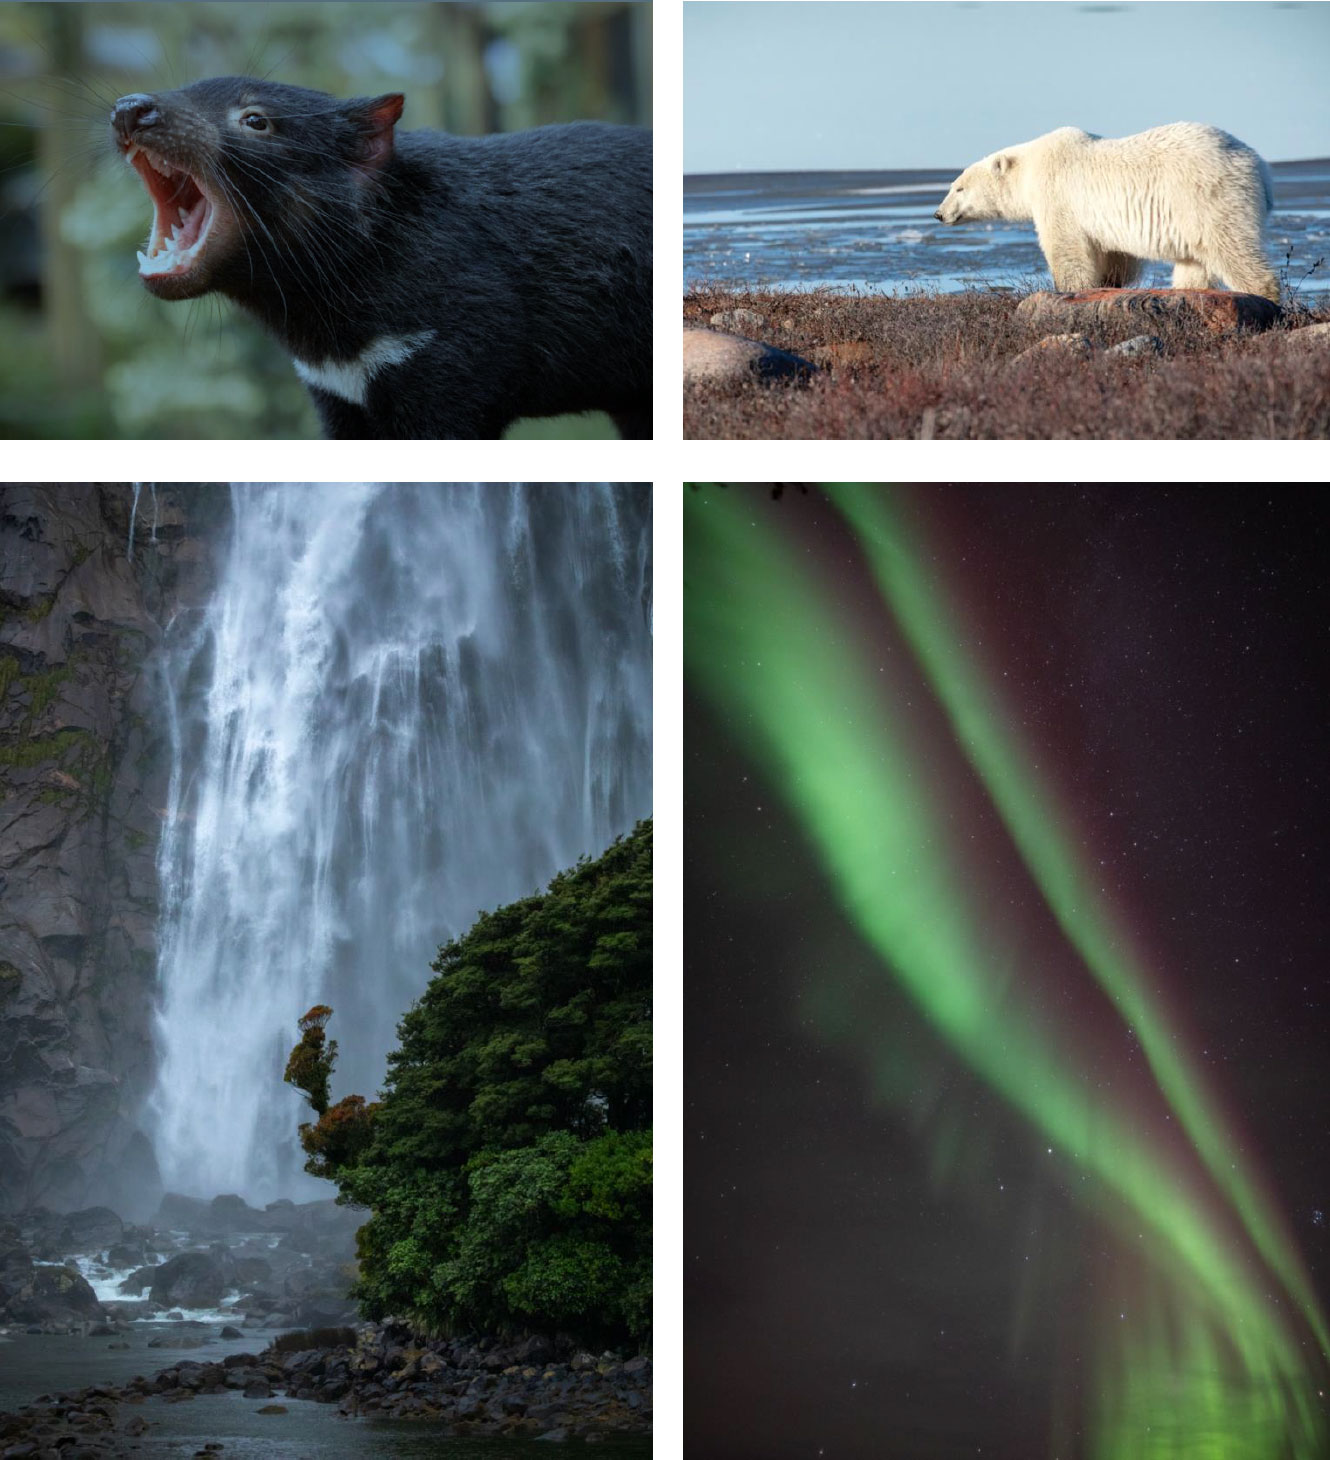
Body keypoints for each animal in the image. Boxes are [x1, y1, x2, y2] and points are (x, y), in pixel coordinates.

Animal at [933, 123, 1278, 302]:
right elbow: (1116, 256)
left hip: (1208, 197)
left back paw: (1265, 298)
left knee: (1230, 247)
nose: (938, 214)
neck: (1031, 167)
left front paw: (1069, 290)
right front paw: (1109, 283)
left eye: (958, 188)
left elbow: (1067, 251)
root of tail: (1260, 168)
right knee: (1193, 261)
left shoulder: (1057, 196)